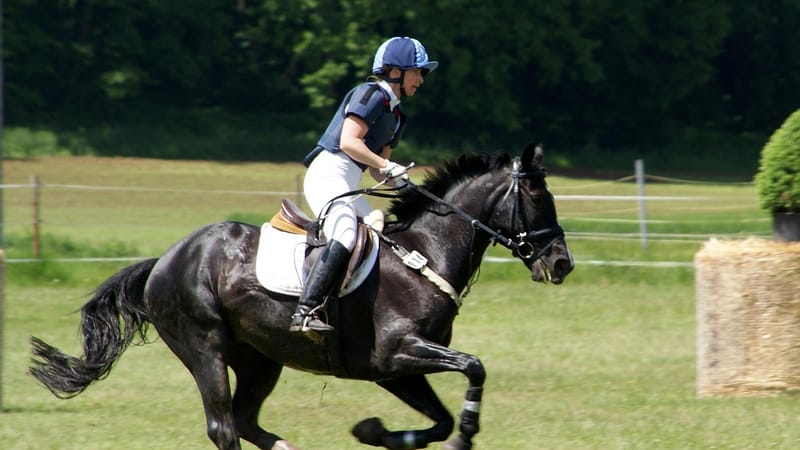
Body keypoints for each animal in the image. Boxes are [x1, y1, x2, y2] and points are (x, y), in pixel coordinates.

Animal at [30, 142, 574, 450]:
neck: (426, 254)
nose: (561, 263)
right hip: (204, 346)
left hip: (260, 359)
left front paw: (374, 432)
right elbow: (474, 368)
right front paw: (463, 437)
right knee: (223, 427)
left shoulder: (396, 370)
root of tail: (164, 260)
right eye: (536, 197)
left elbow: (438, 420)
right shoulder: (397, 354)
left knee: (245, 420)